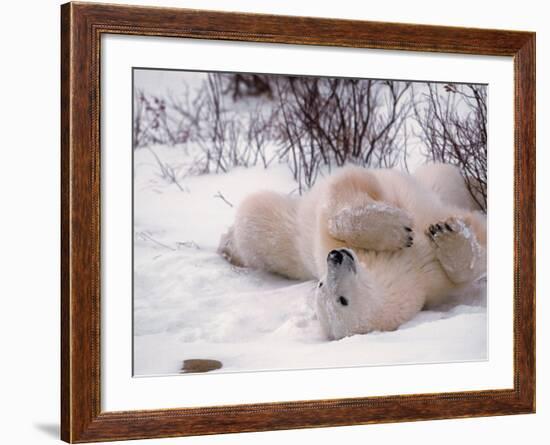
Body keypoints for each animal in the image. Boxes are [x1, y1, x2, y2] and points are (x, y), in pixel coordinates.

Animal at [220, 163, 488, 340]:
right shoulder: (425, 280)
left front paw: (421, 229)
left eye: (321, 284)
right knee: (257, 218)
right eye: (341, 300)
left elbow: (342, 193)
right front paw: (445, 235)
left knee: (442, 176)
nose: (336, 256)